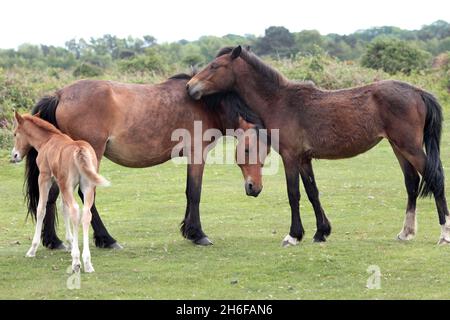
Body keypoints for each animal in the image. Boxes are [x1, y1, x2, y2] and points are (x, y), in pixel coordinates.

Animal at [12, 110, 109, 272]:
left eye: (15, 133)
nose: (14, 155)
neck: (47, 140)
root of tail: (80, 149)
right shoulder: (61, 183)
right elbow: (64, 208)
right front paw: (70, 242)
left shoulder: (45, 178)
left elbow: (41, 209)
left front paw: (32, 249)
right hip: (86, 186)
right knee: (85, 214)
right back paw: (87, 262)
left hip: (66, 185)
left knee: (75, 210)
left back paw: (76, 261)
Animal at [25, 72, 268, 248]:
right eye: (247, 150)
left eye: (266, 153)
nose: (254, 188)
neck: (205, 104)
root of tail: (60, 95)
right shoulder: (197, 154)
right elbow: (194, 192)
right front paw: (198, 234)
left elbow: (189, 193)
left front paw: (188, 231)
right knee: (86, 194)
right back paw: (107, 240)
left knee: (51, 194)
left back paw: (53, 241)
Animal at [187, 45, 450, 245]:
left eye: (214, 66)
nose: (190, 87)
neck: (280, 101)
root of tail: (417, 91)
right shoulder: (305, 159)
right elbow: (313, 192)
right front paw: (321, 232)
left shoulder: (290, 156)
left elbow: (293, 193)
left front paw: (293, 235)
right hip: (399, 148)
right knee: (412, 183)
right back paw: (406, 232)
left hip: (410, 148)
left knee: (435, 178)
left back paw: (444, 234)